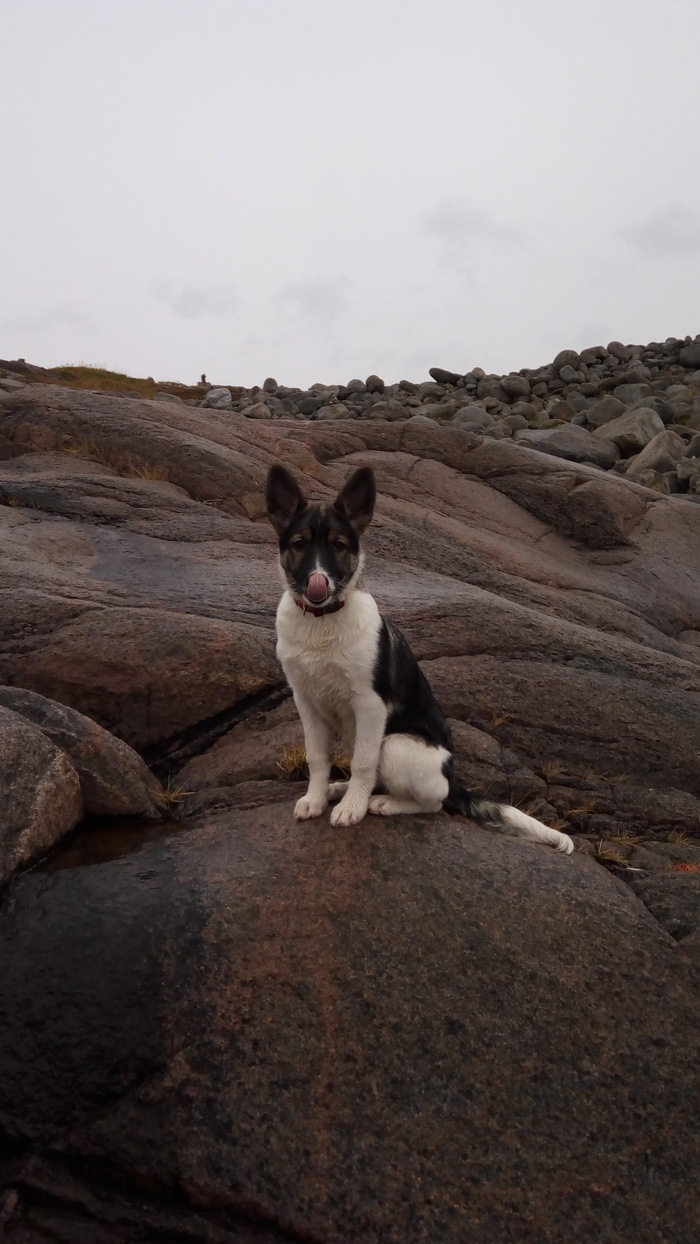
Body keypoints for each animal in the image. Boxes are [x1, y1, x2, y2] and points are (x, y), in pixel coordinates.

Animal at [267, 467, 574, 855]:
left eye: (338, 545)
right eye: (299, 545)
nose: (318, 585)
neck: (321, 623)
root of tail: (453, 780)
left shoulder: (370, 705)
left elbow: (364, 764)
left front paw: (353, 809)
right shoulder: (306, 702)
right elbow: (317, 757)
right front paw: (317, 799)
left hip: (395, 745)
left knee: (431, 801)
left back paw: (381, 802)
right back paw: (342, 790)